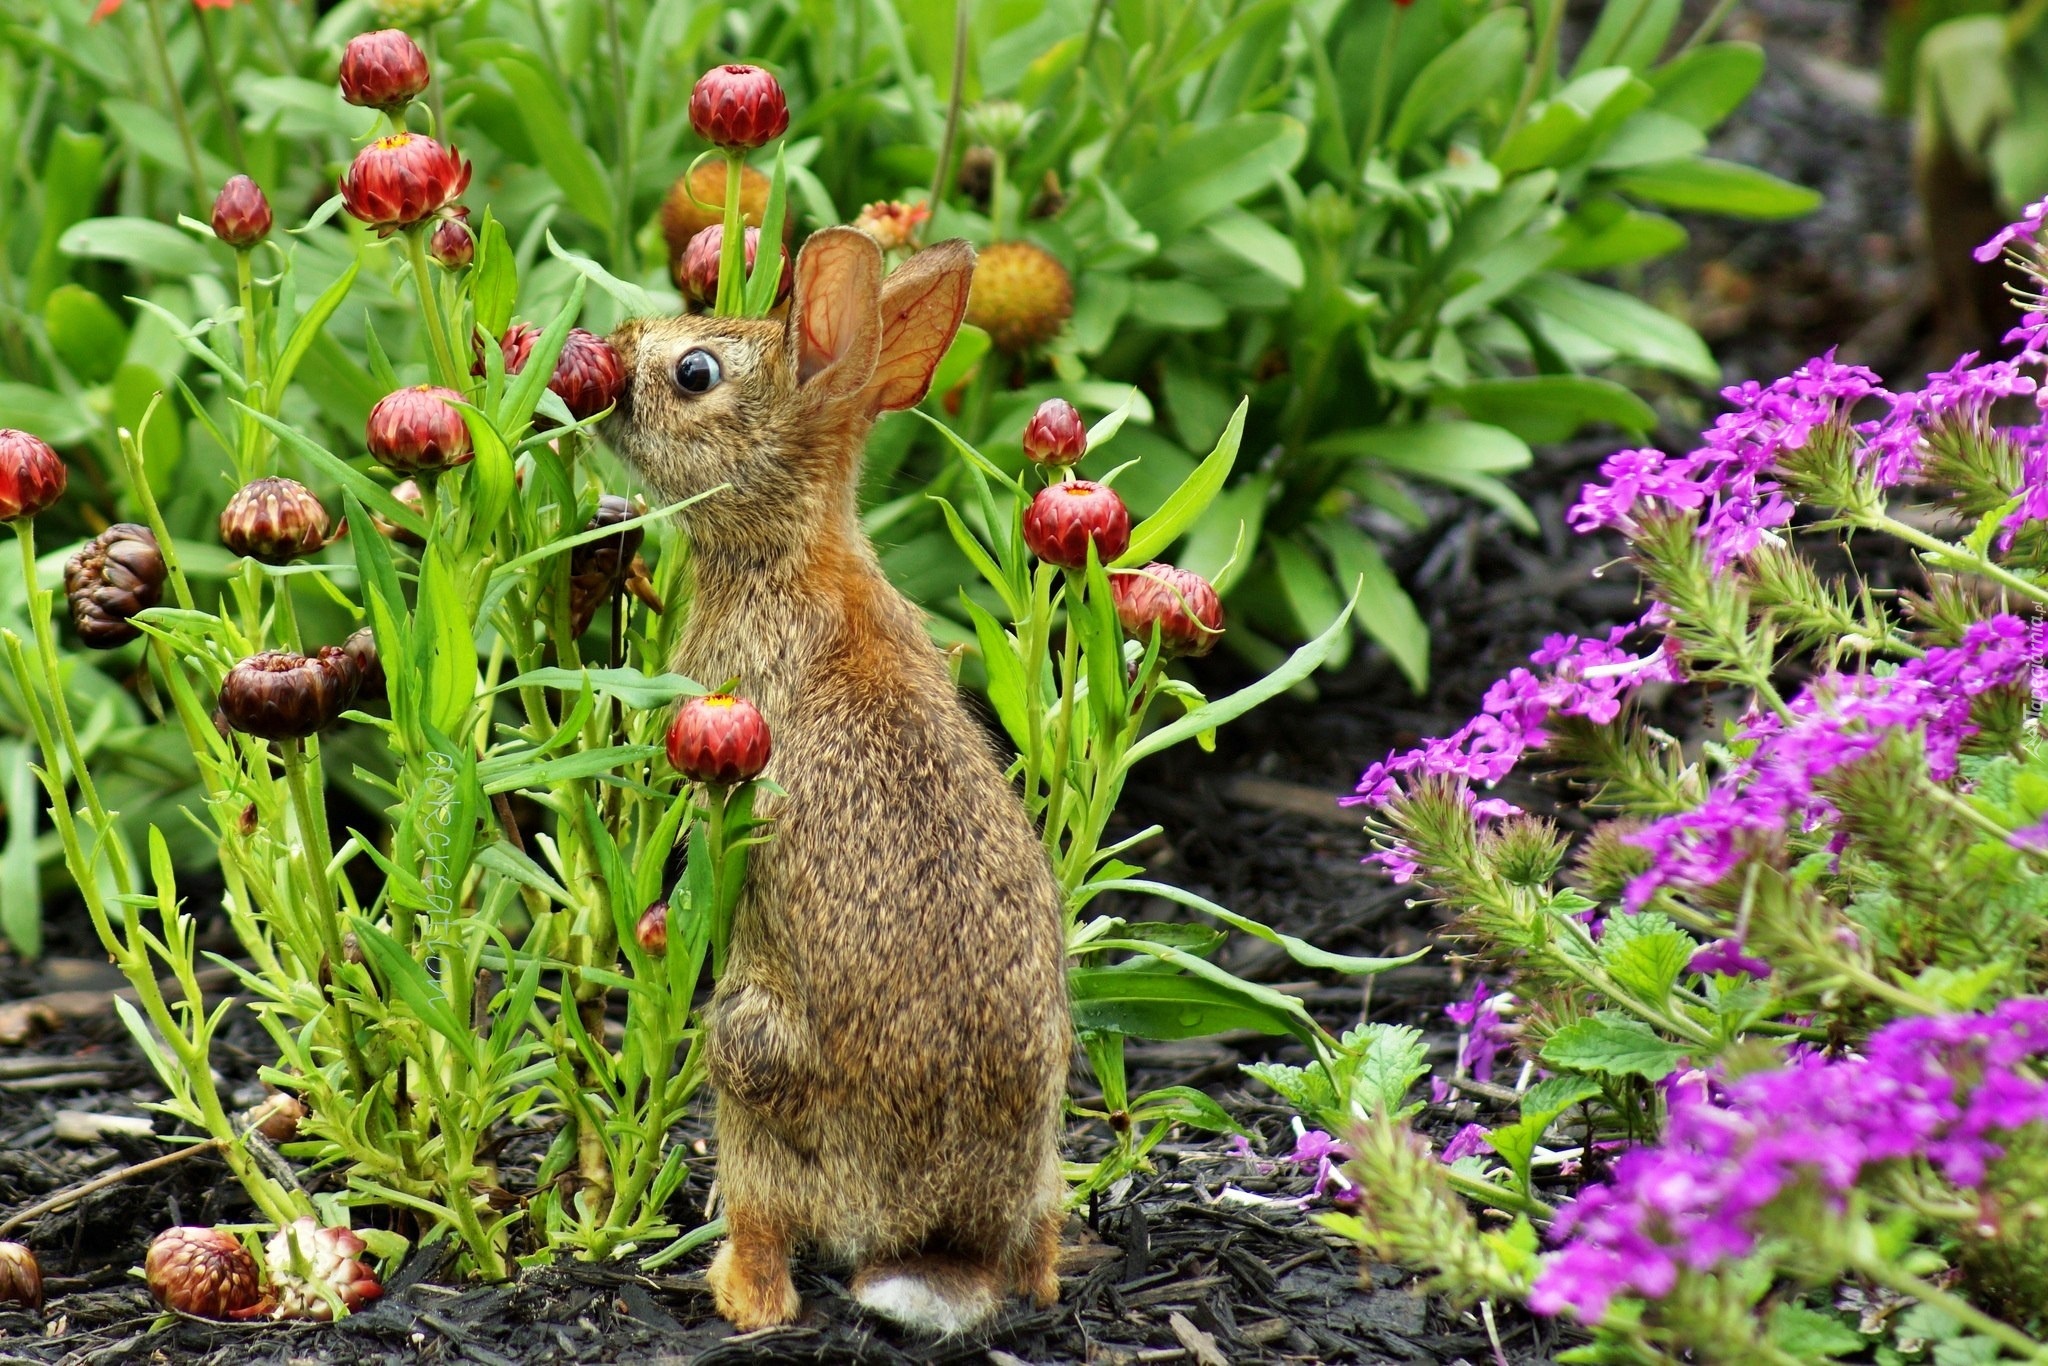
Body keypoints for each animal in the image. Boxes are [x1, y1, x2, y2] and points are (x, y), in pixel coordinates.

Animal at [602, 227, 1073, 1335]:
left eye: (694, 373)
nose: (612, 357)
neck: (788, 550)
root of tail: (935, 1236)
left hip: (746, 1057)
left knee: (767, 1239)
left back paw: (728, 1285)